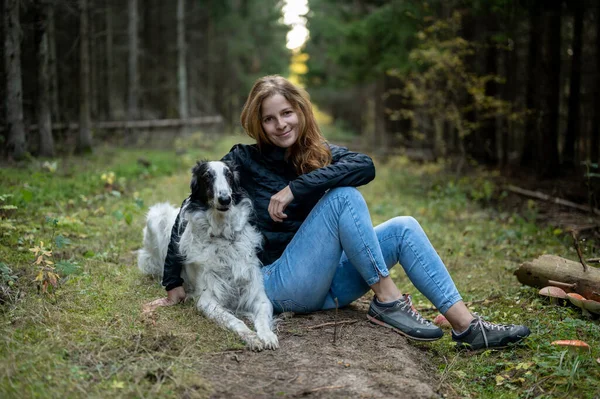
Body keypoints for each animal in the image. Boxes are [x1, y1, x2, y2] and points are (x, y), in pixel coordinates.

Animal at [137, 161, 278, 352]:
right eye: (207, 176)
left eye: (228, 175)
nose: (225, 199)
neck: (222, 236)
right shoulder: (207, 300)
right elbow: (235, 320)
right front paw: (251, 337)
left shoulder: (257, 294)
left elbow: (262, 318)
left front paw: (267, 336)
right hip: (156, 216)